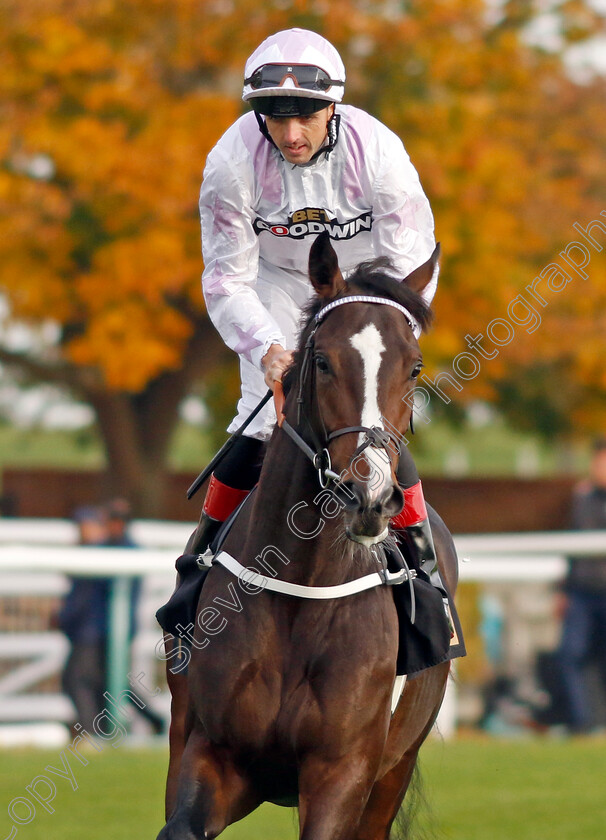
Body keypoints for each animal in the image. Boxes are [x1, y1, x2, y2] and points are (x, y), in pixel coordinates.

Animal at [159, 235, 464, 840]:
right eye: (322, 362)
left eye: (415, 367)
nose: (369, 494)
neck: (300, 594)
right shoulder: (213, 752)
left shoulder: (344, 773)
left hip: (396, 768)